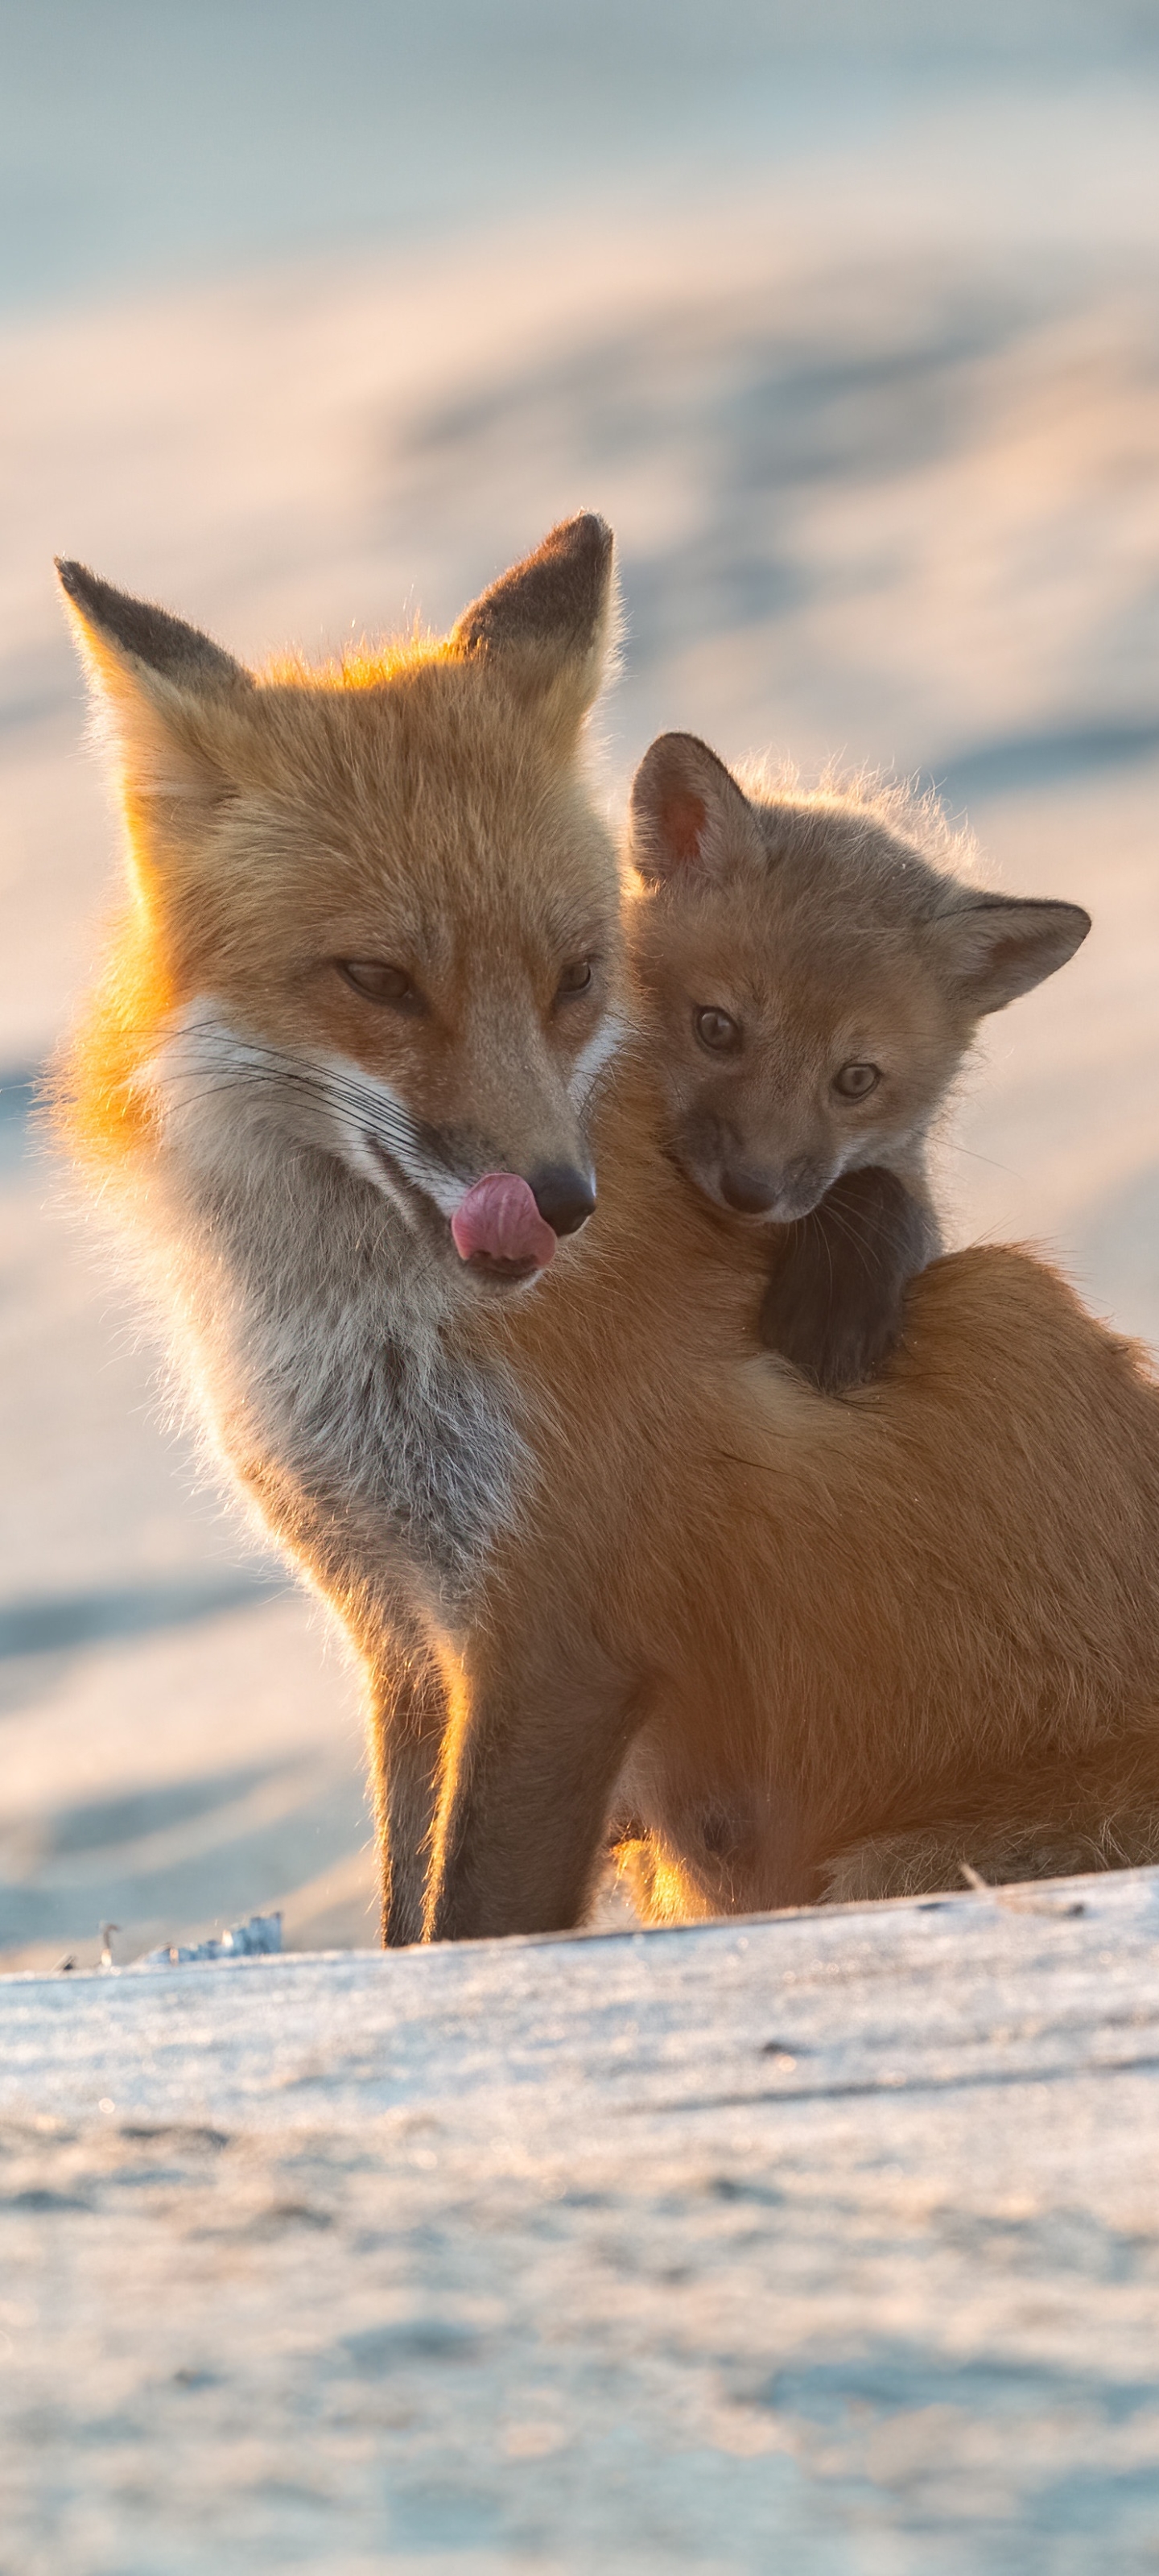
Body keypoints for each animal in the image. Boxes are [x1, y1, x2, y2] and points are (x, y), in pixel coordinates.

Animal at [56, 512, 1159, 1937]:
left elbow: (471, 1921)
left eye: (578, 979)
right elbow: (406, 1920)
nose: (563, 1202)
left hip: (883, 1859)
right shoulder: (408, 1637)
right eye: (377, 981)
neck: (354, 1340)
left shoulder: (555, 1638)